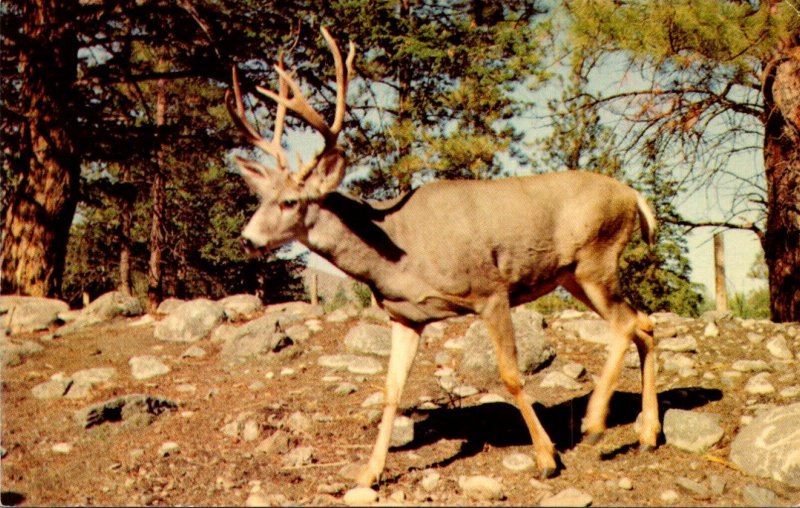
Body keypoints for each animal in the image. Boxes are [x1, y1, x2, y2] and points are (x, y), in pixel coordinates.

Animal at [227, 25, 664, 486]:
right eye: (260, 197)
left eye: (290, 201)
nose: (247, 239)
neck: (398, 251)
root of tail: (634, 196)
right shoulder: (405, 316)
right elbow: (391, 391)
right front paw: (369, 473)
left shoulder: (490, 291)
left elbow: (510, 375)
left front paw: (546, 456)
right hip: (574, 276)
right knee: (644, 323)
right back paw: (648, 433)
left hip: (596, 260)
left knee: (626, 324)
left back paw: (595, 424)